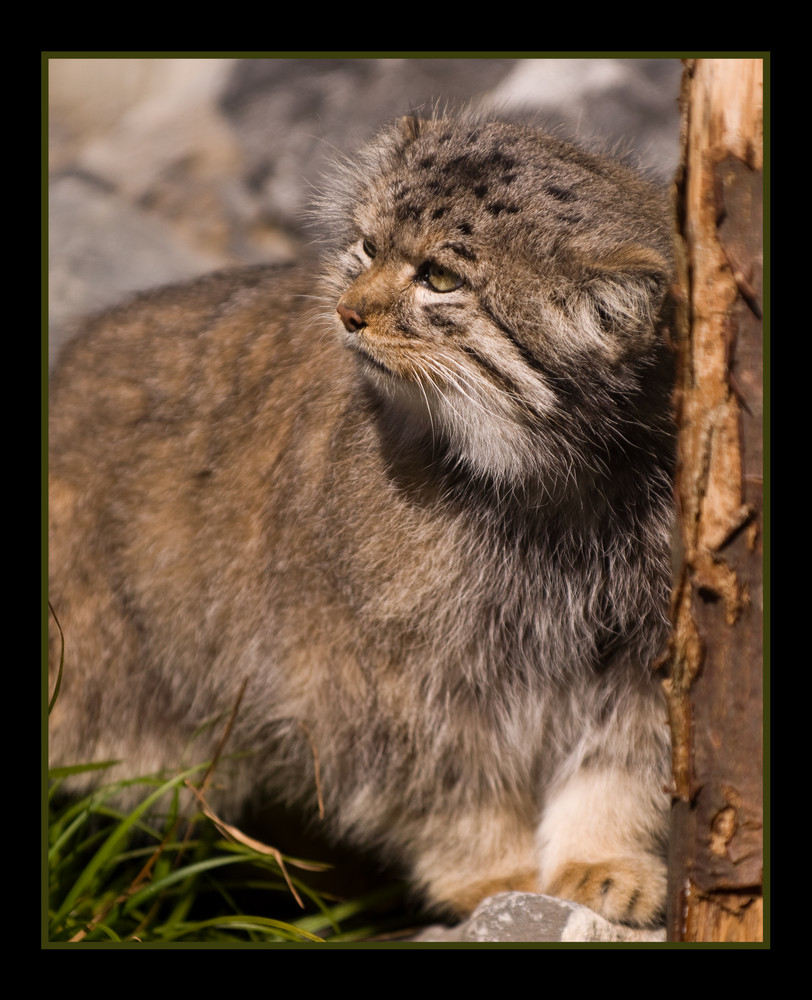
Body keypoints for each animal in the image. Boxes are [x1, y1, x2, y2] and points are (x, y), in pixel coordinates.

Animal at [47, 117, 676, 928]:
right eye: (368, 246)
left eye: (440, 278)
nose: (346, 311)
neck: (555, 491)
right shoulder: (383, 675)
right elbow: (450, 787)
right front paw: (494, 879)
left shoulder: (642, 653)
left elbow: (620, 767)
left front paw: (603, 862)